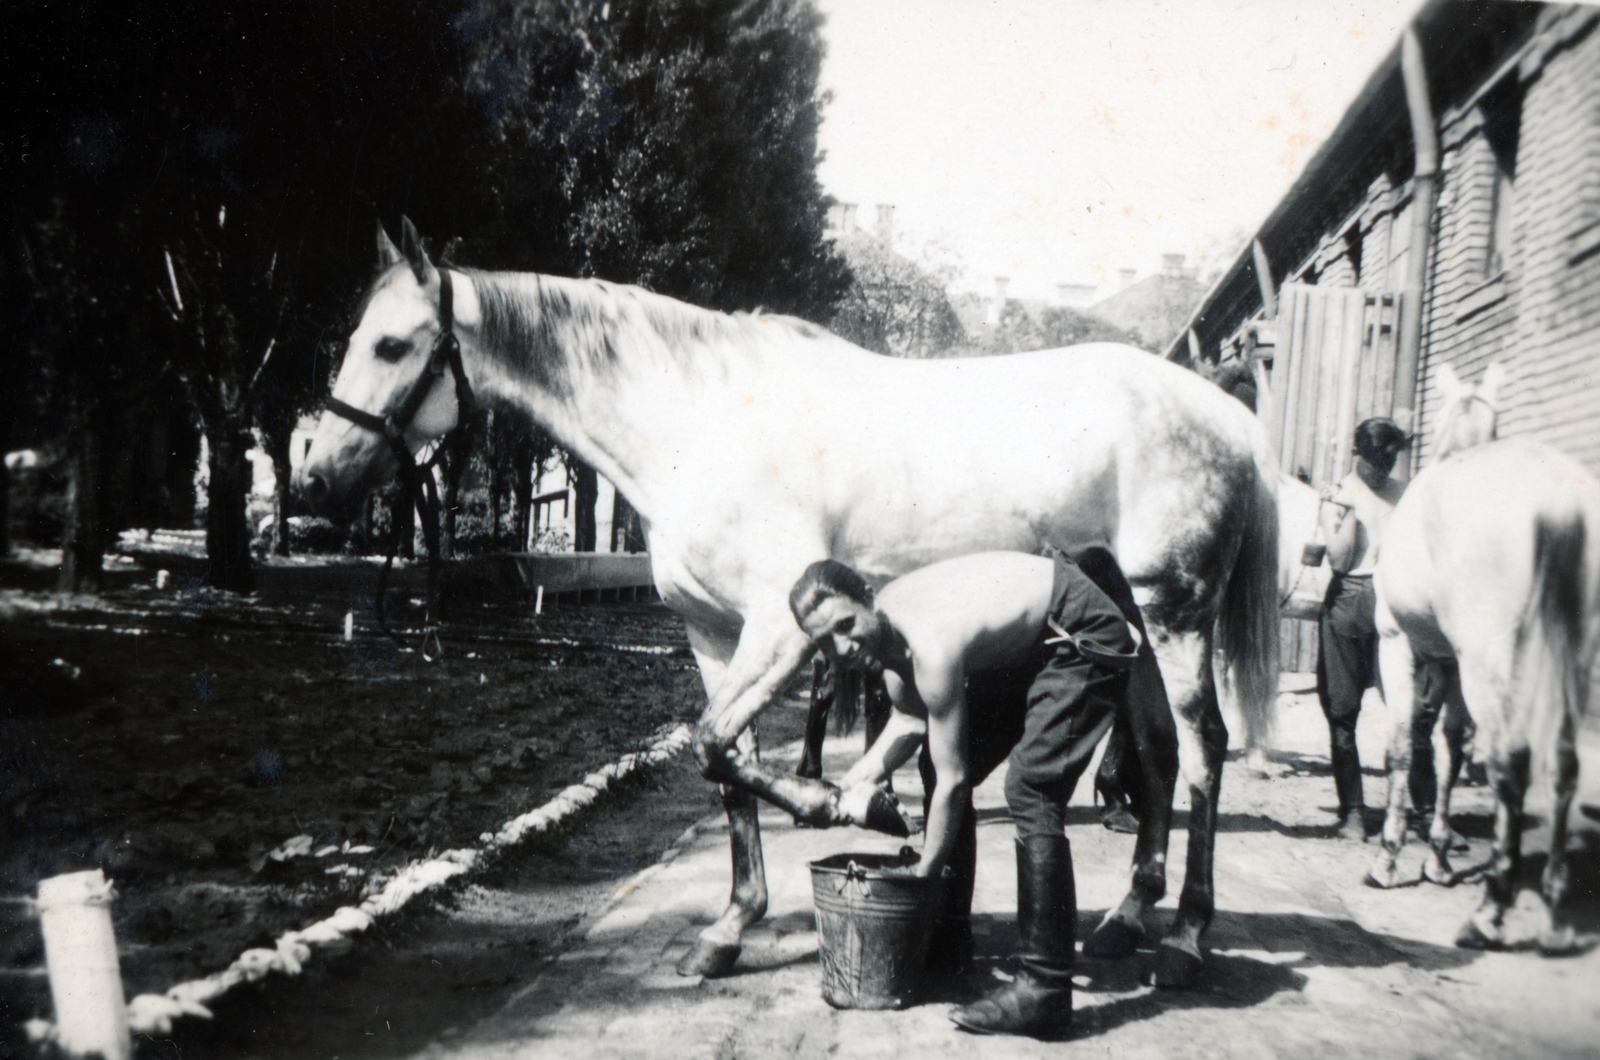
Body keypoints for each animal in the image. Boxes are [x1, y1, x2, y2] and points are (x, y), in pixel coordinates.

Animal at [297, 222, 1273, 986]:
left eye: (392, 346)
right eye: (353, 336)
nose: (313, 478)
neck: (702, 421)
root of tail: (1224, 417)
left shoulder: (779, 629)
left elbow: (715, 744)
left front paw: (855, 808)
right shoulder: (712, 634)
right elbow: (725, 765)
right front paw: (731, 926)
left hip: (1176, 614)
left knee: (1202, 750)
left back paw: (1187, 936)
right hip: (1129, 619)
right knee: (1154, 750)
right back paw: (1127, 917)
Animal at [1363, 365, 1600, 954]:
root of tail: (1557, 498)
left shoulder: (1397, 643)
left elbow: (1403, 748)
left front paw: (1388, 859)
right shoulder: (1450, 666)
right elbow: (1450, 752)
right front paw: (1439, 859)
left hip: (1491, 660)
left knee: (1512, 762)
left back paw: (1490, 911)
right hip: (1569, 659)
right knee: (1563, 762)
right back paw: (1553, 911)